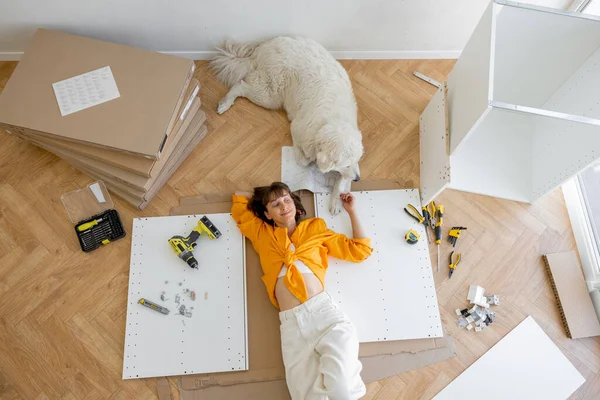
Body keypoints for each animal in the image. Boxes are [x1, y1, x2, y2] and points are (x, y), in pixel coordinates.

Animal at [209, 36, 364, 214]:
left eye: (357, 160)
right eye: (346, 164)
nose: (358, 179)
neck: (332, 121)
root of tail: (263, 46)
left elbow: (341, 181)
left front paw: (336, 202)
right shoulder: (297, 129)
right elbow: (304, 160)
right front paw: (311, 160)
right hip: (269, 95)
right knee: (240, 85)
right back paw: (225, 103)